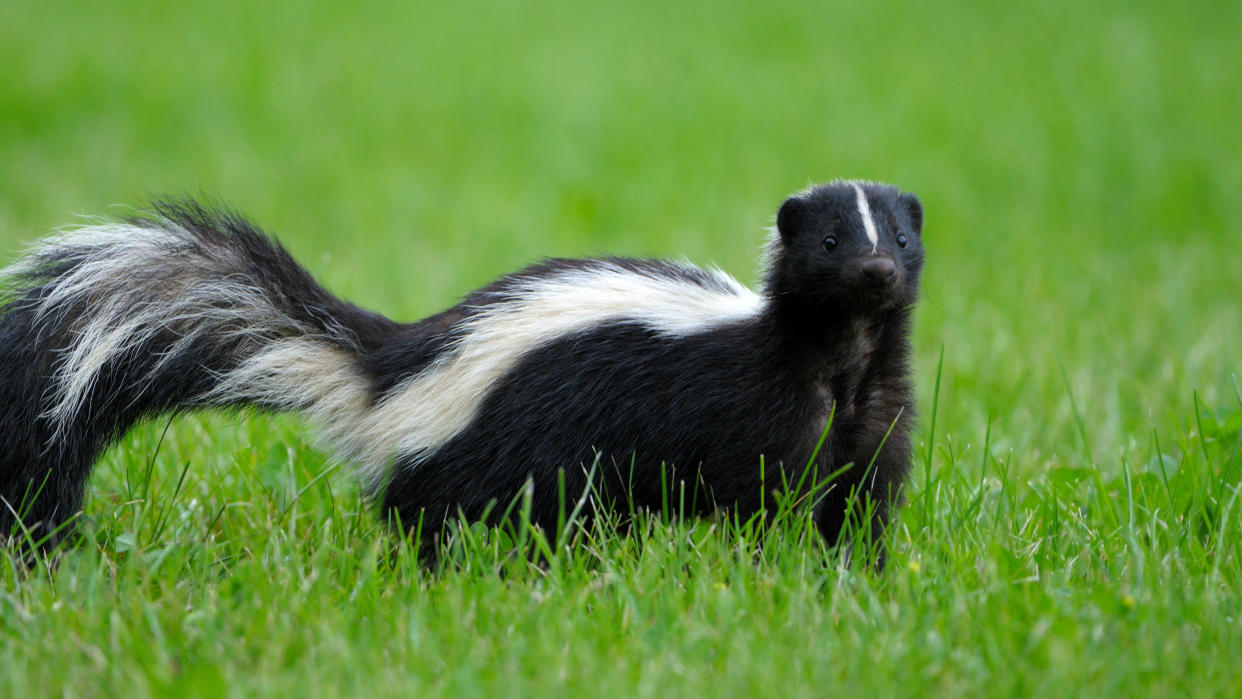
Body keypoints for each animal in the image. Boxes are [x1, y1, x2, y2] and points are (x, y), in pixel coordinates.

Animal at [0, 182, 924, 563]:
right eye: (831, 241)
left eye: (902, 236)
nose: (879, 268)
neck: (841, 356)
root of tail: (387, 368)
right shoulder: (760, 411)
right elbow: (769, 495)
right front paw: (774, 568)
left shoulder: (876, 416)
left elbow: (863, 499)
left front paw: (856, 572)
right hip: (504, 444)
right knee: (443, 513)